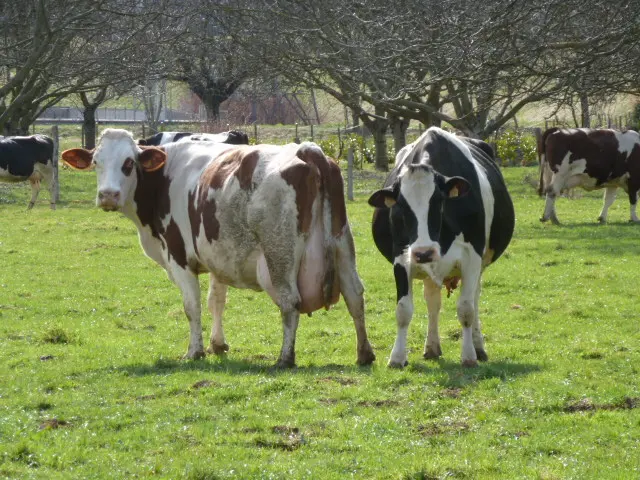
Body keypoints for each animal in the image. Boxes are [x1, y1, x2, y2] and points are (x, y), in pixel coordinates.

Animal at [61, 127, 376, 368]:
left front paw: (195, 351)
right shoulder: (218, 255)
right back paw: (364, 354)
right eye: (96, 162)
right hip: (342, 245)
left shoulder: (179, 257)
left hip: (279, 255)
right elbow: (217, 301)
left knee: (290, 303)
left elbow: (192, 306)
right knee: (355, 296)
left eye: (129, 163)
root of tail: (306, 150)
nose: (108, 195)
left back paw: (285, 358)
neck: (163, 177)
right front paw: (218, 344)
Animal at [368, 126, 512, 368]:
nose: (424, 252)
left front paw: (469, 356)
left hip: (480, 265)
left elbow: (466, 310)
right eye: (400, 206)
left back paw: (478, 347)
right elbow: (403, 310)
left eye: (438, 201)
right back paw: (432, 348)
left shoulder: (472, 259)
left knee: (474, 300)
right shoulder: (402, 257)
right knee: (432, 302)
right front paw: (397, 357)